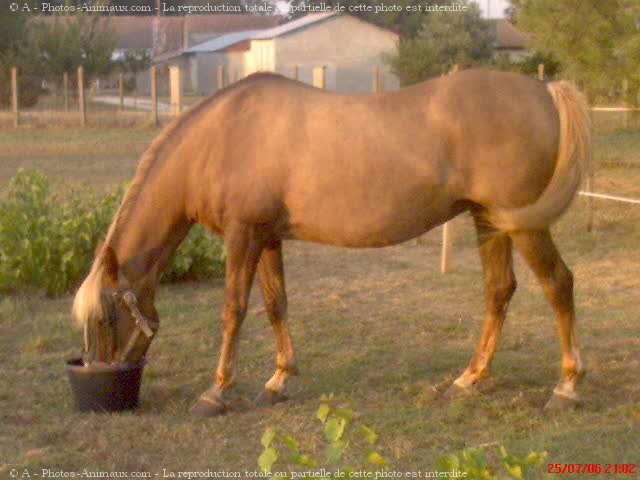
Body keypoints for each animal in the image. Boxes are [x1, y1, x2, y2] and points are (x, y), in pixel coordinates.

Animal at [70, 68, 592, 416]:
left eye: (105, 317)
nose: (96, 374)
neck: (222, 138)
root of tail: (544, 91)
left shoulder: (243, 235)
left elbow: (233, 310)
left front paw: (216, 392)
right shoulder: (267, 238)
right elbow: (275, 303)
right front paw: (279, 379)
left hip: (522, 225)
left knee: (558, 284)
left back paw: (567, 386)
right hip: (490, 220)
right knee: (499, 291)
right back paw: (469, 378)